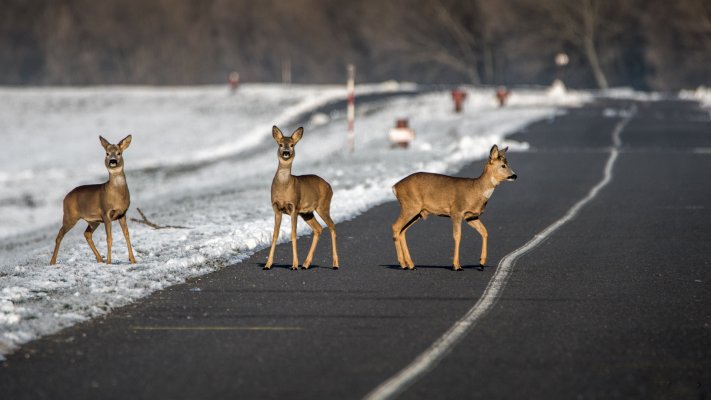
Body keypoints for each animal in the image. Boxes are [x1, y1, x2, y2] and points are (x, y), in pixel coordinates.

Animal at [50, 134, 136, 266]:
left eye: (119, 153)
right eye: (107, 153)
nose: (112, 161)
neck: (116, 196)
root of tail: (65, 198)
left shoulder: (122, 213)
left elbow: (126, 235)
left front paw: (133, 260)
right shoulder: (106, 213)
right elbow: (109, 238)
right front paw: (109, 262)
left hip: (94, 221)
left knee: (87, 234)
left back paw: (100, 259)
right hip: (70, 216)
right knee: (59, 235)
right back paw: (52, 262)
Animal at [264, 126, 340, 270]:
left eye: (292, 145)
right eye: (280, 144)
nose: (286, 152)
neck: (283, 188)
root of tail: (329, 185)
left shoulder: (294, 207)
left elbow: (293, 234)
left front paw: (294, 265)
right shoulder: (276, 209)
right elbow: (275, 235)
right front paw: (267, 264)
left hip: (323, 206)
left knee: (332, 226)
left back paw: (335, 264)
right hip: (307, 213)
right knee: (318, 228)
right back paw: (305, 264)